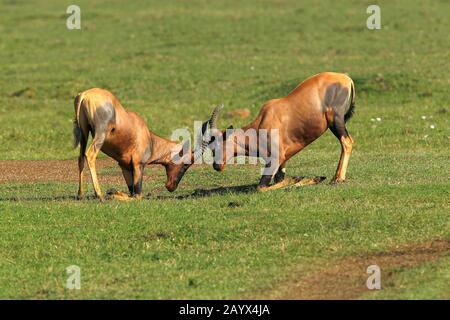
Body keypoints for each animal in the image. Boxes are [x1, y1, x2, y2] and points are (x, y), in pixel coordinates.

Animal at [72, 87, 220, 201]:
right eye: (186, 164)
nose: (171, 187)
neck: (148, 136)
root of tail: (85, 95)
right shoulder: (138, 164)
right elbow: (137, 195)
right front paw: (111, 194)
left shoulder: (125, 166)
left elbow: (131, 192)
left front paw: (113, 192)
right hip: (100, 134)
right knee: (90, 155)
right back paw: (100, 195)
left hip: (84, 132)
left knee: (80, 157)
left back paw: (80, 194)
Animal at [207, 71, 356, 189]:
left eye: (220, 143)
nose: (217, 166)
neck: (263, 120)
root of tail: (346, 79)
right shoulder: (283, 160)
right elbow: (279, 179)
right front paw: (310, 179)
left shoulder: (275, 158)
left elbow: (262, 187)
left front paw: (308, 178)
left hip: (335, 120)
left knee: (347, 142)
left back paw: (337, 179)